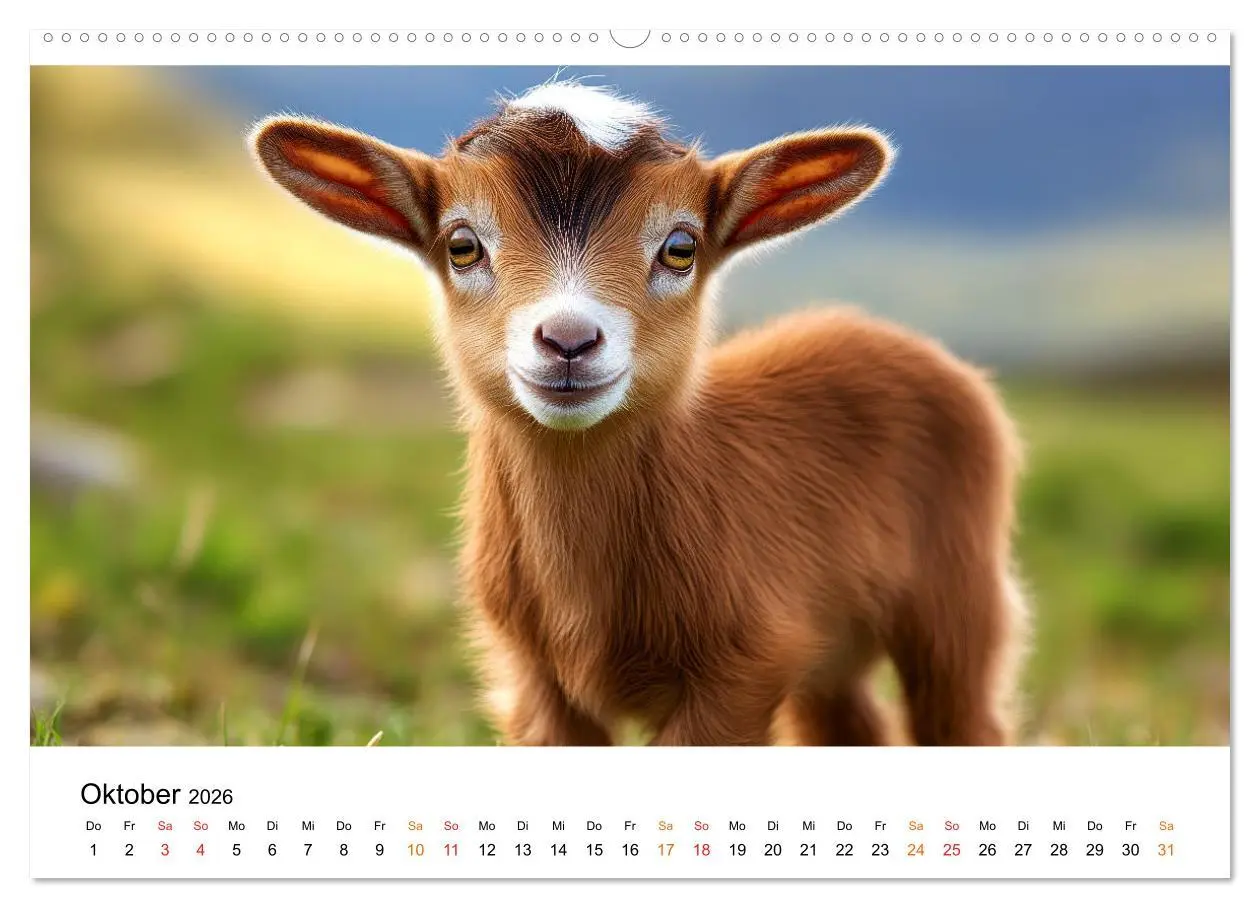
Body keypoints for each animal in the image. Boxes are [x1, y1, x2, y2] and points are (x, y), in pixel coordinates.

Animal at [252, 81, 1028, 745]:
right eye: (462, 244)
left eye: (681, 247)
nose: (568, 341)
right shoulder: (530, 676)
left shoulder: (744, 665)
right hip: (835, 650)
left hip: (957, 592)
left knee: (964, 716)